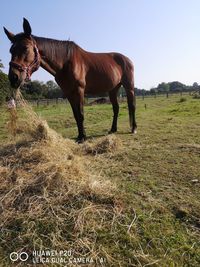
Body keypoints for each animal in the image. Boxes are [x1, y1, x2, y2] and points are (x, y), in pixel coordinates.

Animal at [3, 18, 137, 144]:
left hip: (129, 87)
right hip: (113, 89)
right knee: (116, 108)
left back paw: (133, 128)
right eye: (11, 50)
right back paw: (113, 129)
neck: (66, 63)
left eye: (25, 48)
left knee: (132, 105)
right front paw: (80, 136)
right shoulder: (69, 93)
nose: (13, 77)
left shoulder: (79, 91)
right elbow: (76, 115)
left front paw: (83, 137)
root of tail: (127, 59)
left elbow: (81, 114)